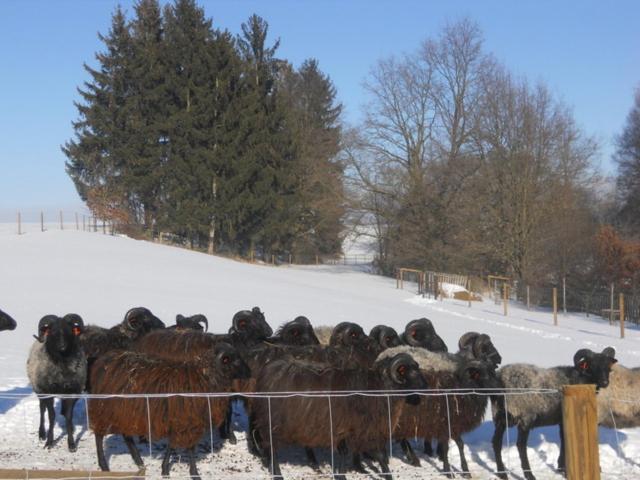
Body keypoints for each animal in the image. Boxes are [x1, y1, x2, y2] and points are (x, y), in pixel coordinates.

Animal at [25, 314, 86, 452]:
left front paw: (71, 444)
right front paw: (49, 442)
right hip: (39, 390)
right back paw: (42, 433)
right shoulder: (48, 392)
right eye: (53, 332)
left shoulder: (72, 393)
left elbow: (68, 416)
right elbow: (51, 416)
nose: (62, 346)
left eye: (69, 331)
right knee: (42, 410)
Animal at [90, 344, 250, 478]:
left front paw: (165, 469)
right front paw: (193, 473)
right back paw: (104, 466)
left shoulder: (181, 421)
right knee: (99, 435)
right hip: (105, 408)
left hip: (125, 411)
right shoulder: (188, 422)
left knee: (126, 436)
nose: (250, 373)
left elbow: (172, 445)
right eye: (234, 359)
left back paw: (139, 461)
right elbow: (189, 448)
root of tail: (104, 360)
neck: (204, 377)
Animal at [252, 350, 428, 478]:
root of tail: (267, 369)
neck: (380, 387)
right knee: (271, 448)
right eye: (411, 372)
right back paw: (277, 474)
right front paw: (387, 475)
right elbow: (378, 455)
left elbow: (345, 453)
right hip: (273, 422)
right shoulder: (363, 430)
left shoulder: (346, 428)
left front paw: (342, 474)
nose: (426, 388)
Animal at [380, 344, 500, 476]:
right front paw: (448, 470)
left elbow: (460, 444)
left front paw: (465, 470)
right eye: (483, 375)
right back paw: (413, 459)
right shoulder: (443, 422)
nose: (500, 390)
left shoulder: (454, 423)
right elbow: (445, 447)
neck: (462, 387)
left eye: (493, 372)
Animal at [492, 344, 616, 480]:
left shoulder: (561, 419)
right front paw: (565, 470)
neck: (580, 379)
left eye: (608, 367)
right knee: (520, 445)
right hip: (524, 416)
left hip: (500, 415)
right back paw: (529, 474)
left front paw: (561, 467)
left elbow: (563, 438)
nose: (605, 382)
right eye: (592, 365)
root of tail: (501, 378)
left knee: (496, 442)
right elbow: (565, 439)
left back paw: (502, 473)